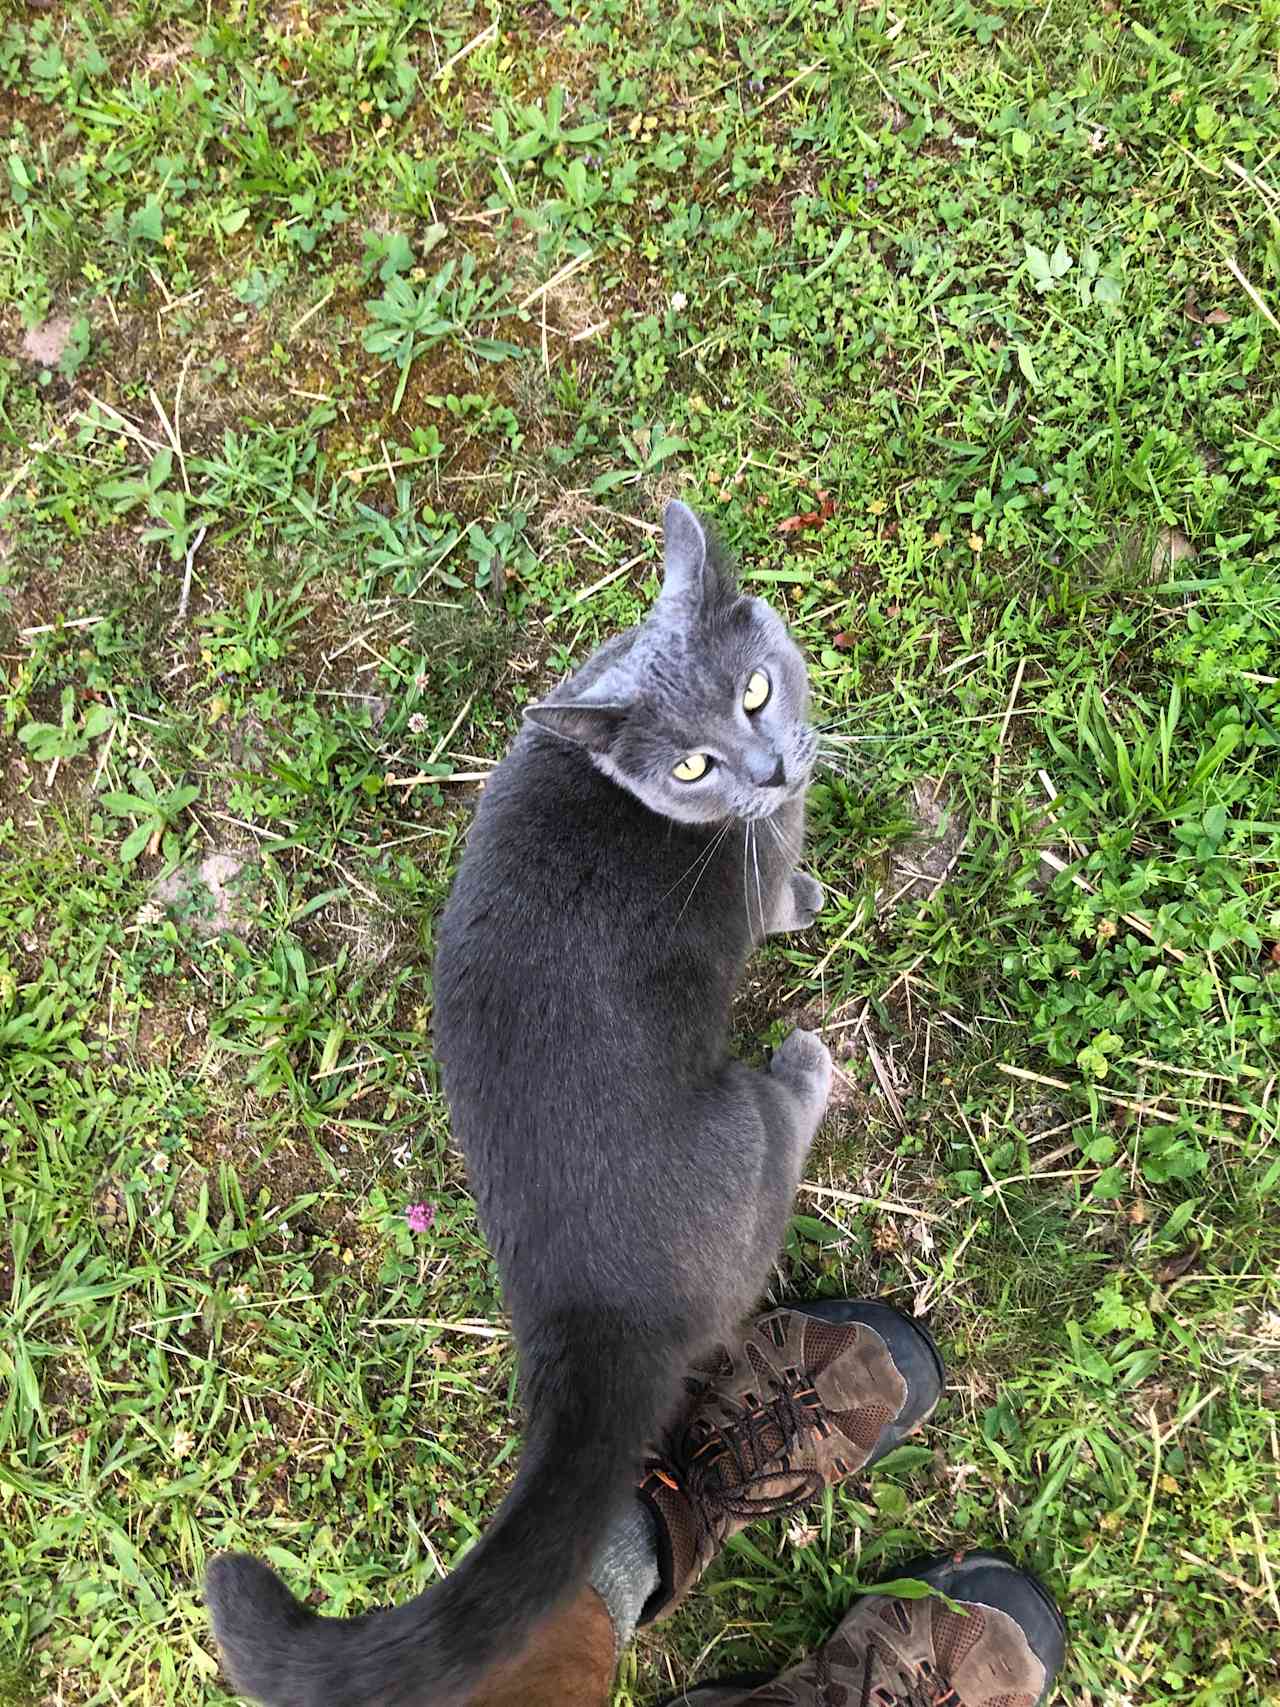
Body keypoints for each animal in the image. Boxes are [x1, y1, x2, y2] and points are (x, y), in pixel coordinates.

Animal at [205, 498, 836, 1700]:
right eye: (694, 764)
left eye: (753, 690)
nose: (774, 768)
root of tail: (584, 1319)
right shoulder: (760, 863)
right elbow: (780, 893)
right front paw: (811, 893)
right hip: (740, 1122)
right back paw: (810, 1065)